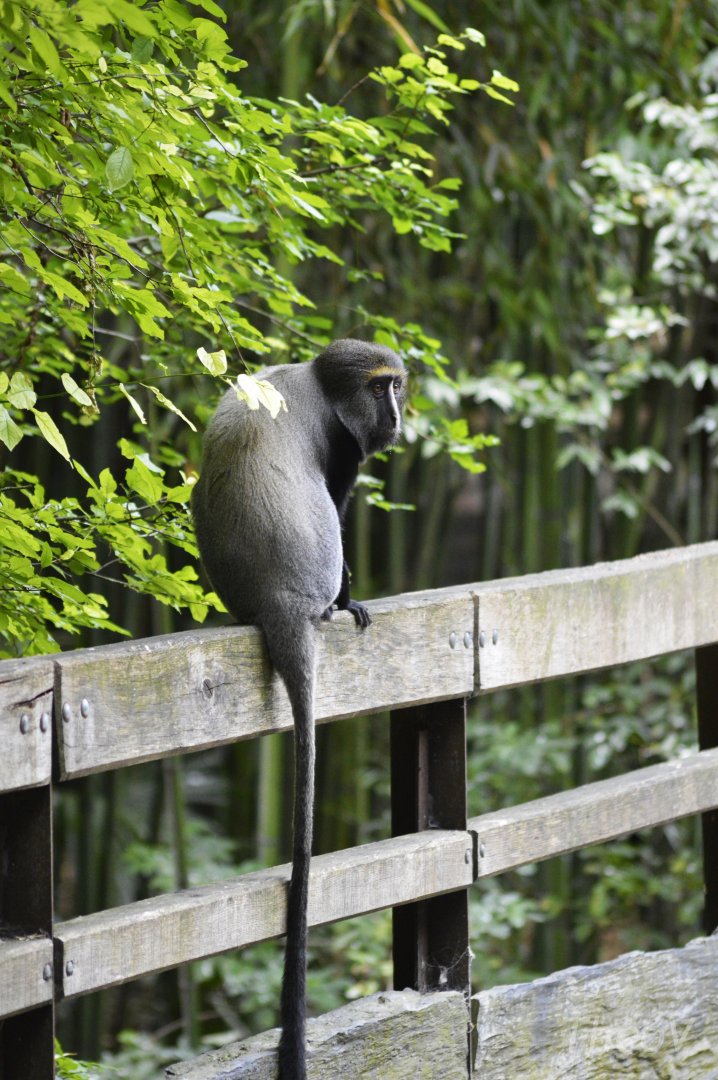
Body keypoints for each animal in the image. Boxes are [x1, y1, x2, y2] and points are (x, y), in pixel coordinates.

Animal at [191, 339, 406, 1080]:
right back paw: (337, 604)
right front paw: (353, 599)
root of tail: (276, 602)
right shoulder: (342, 446)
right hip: (315, 567)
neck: (316, 377)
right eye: (385, 387)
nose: (400, 413)